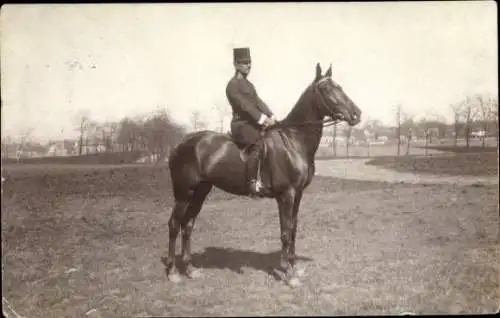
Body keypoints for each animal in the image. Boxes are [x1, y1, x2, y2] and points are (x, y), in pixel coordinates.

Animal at [162, 62, 362, 286]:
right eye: (326, 89)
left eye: (340, 86)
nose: (356, 114)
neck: (293, 140)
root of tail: (180, 144)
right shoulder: (286, 195)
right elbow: (285, 232)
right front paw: (289, 273)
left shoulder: (298, 194)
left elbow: (293, 229)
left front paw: (292, 266)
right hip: (184, 192)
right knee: (174, 224)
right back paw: (173, 271)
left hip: (200, 192)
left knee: (188, 224)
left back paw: (190, 268)